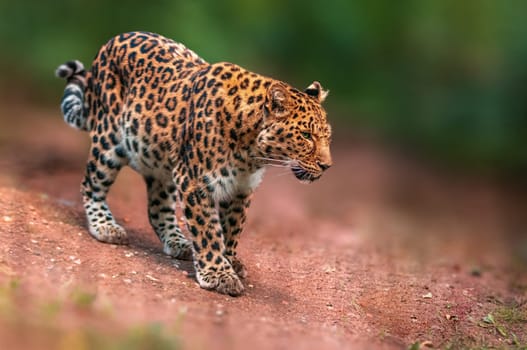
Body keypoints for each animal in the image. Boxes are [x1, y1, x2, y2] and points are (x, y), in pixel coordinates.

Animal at [55, 32, 332, 296]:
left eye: (327, 136)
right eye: (306, 136)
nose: (327, 166)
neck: (251, 152)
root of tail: (110, 43)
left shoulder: (241, 189)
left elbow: (232, 228)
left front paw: (230, 260)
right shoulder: (196, 182)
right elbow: (208, 231)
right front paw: (219, 274)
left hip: (161, 164)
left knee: (158, 209)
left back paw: (177, 242)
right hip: (108, 142)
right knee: (91, 184)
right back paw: (105, 226)